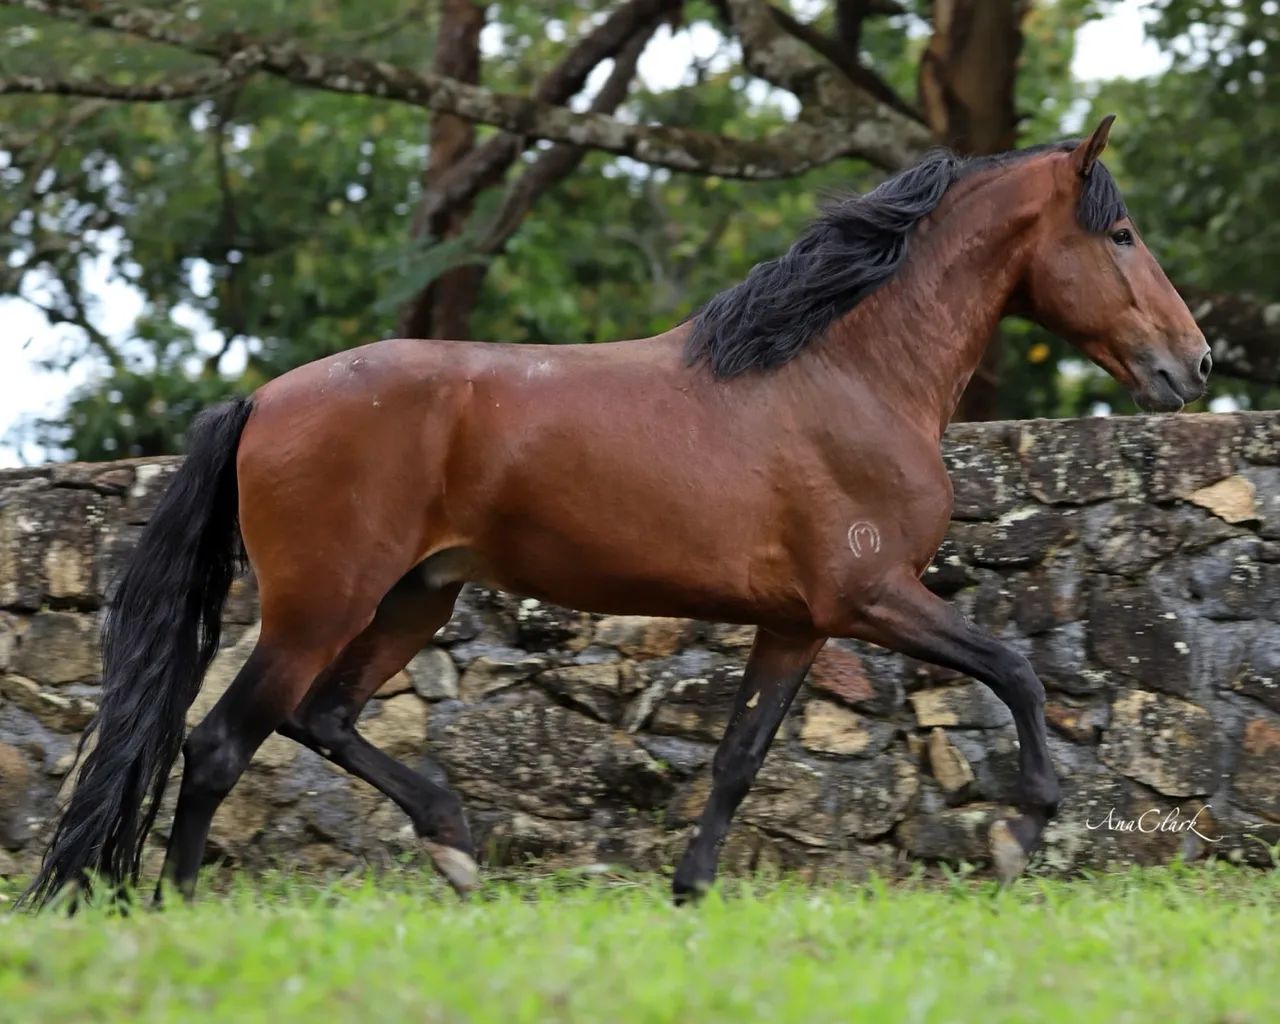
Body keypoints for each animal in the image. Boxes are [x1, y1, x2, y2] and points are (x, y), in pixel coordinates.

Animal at [23, 116, 1211, 908]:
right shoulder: (873, 595)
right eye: (1119, 234)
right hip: (319, 606)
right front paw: (1023, 830)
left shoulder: (797, 623)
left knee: (326, 719)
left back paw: (454, 844)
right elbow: (1016, 670)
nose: (1191, 364)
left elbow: (737, 759)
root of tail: (265, 397)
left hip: (412, 600)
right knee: (223, 743)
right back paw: (185, 903)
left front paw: (689, 892)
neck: (846, 373)